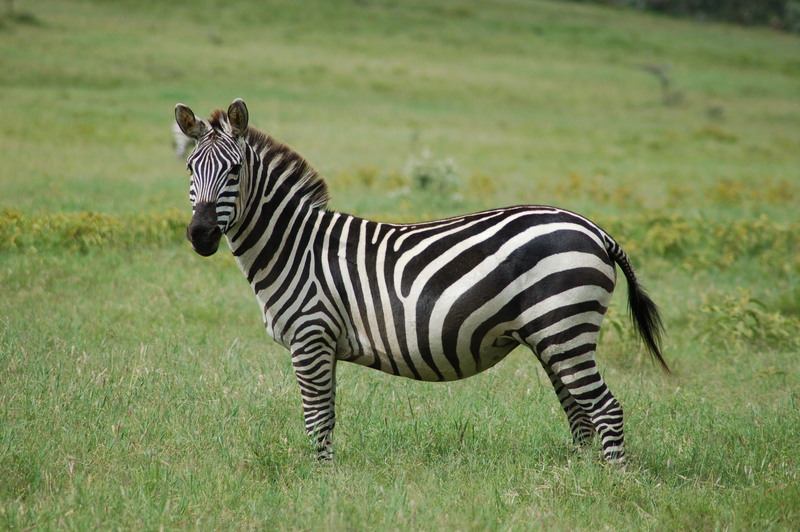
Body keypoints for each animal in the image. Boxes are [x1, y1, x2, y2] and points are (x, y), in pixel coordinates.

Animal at [175, 97, 668, 464]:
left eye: (234, 171)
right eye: (189, 169)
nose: (201, 235)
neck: (295, 246)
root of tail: (595, 229)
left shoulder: (311, 337)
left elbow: (316, 420)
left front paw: (322, 484)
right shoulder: (324, 344)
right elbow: (327, 417)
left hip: (565, 326)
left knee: (606, 409)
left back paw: (612, 485)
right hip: (553, 334)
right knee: (579, 411)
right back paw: (577, 476)